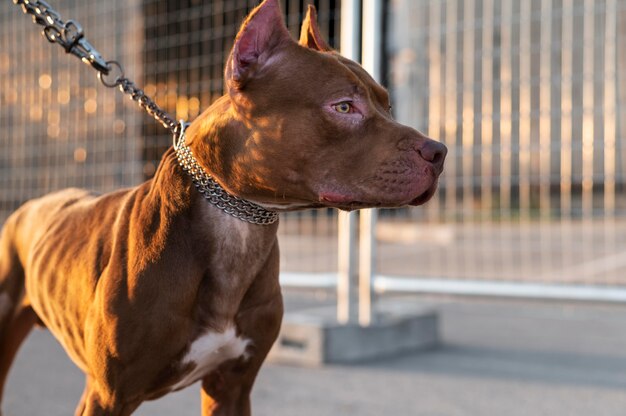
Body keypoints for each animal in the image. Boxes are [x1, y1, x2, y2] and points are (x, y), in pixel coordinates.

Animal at [0, 1, 444, 414]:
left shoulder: (232, 386)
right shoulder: (108, 396)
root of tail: (30, 206)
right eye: (344, 107)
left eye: (387, 104)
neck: (239, 222)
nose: (439, 152)